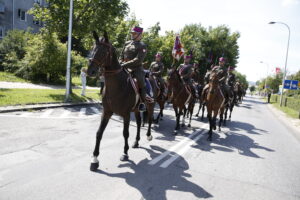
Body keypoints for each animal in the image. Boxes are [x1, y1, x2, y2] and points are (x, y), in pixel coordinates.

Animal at [88, 30, 155, 170]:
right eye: (93, 48)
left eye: (104, 52)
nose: (90, 71)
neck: (117, 85)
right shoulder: (106, 112)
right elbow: (99, 133)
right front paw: (95, 159)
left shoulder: (125, 114)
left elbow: (125, 133)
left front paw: (125, 153)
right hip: (136, 109)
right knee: (139, 122)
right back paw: (136, 141)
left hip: (150, 104)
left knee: (150, 119)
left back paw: (148, 135)